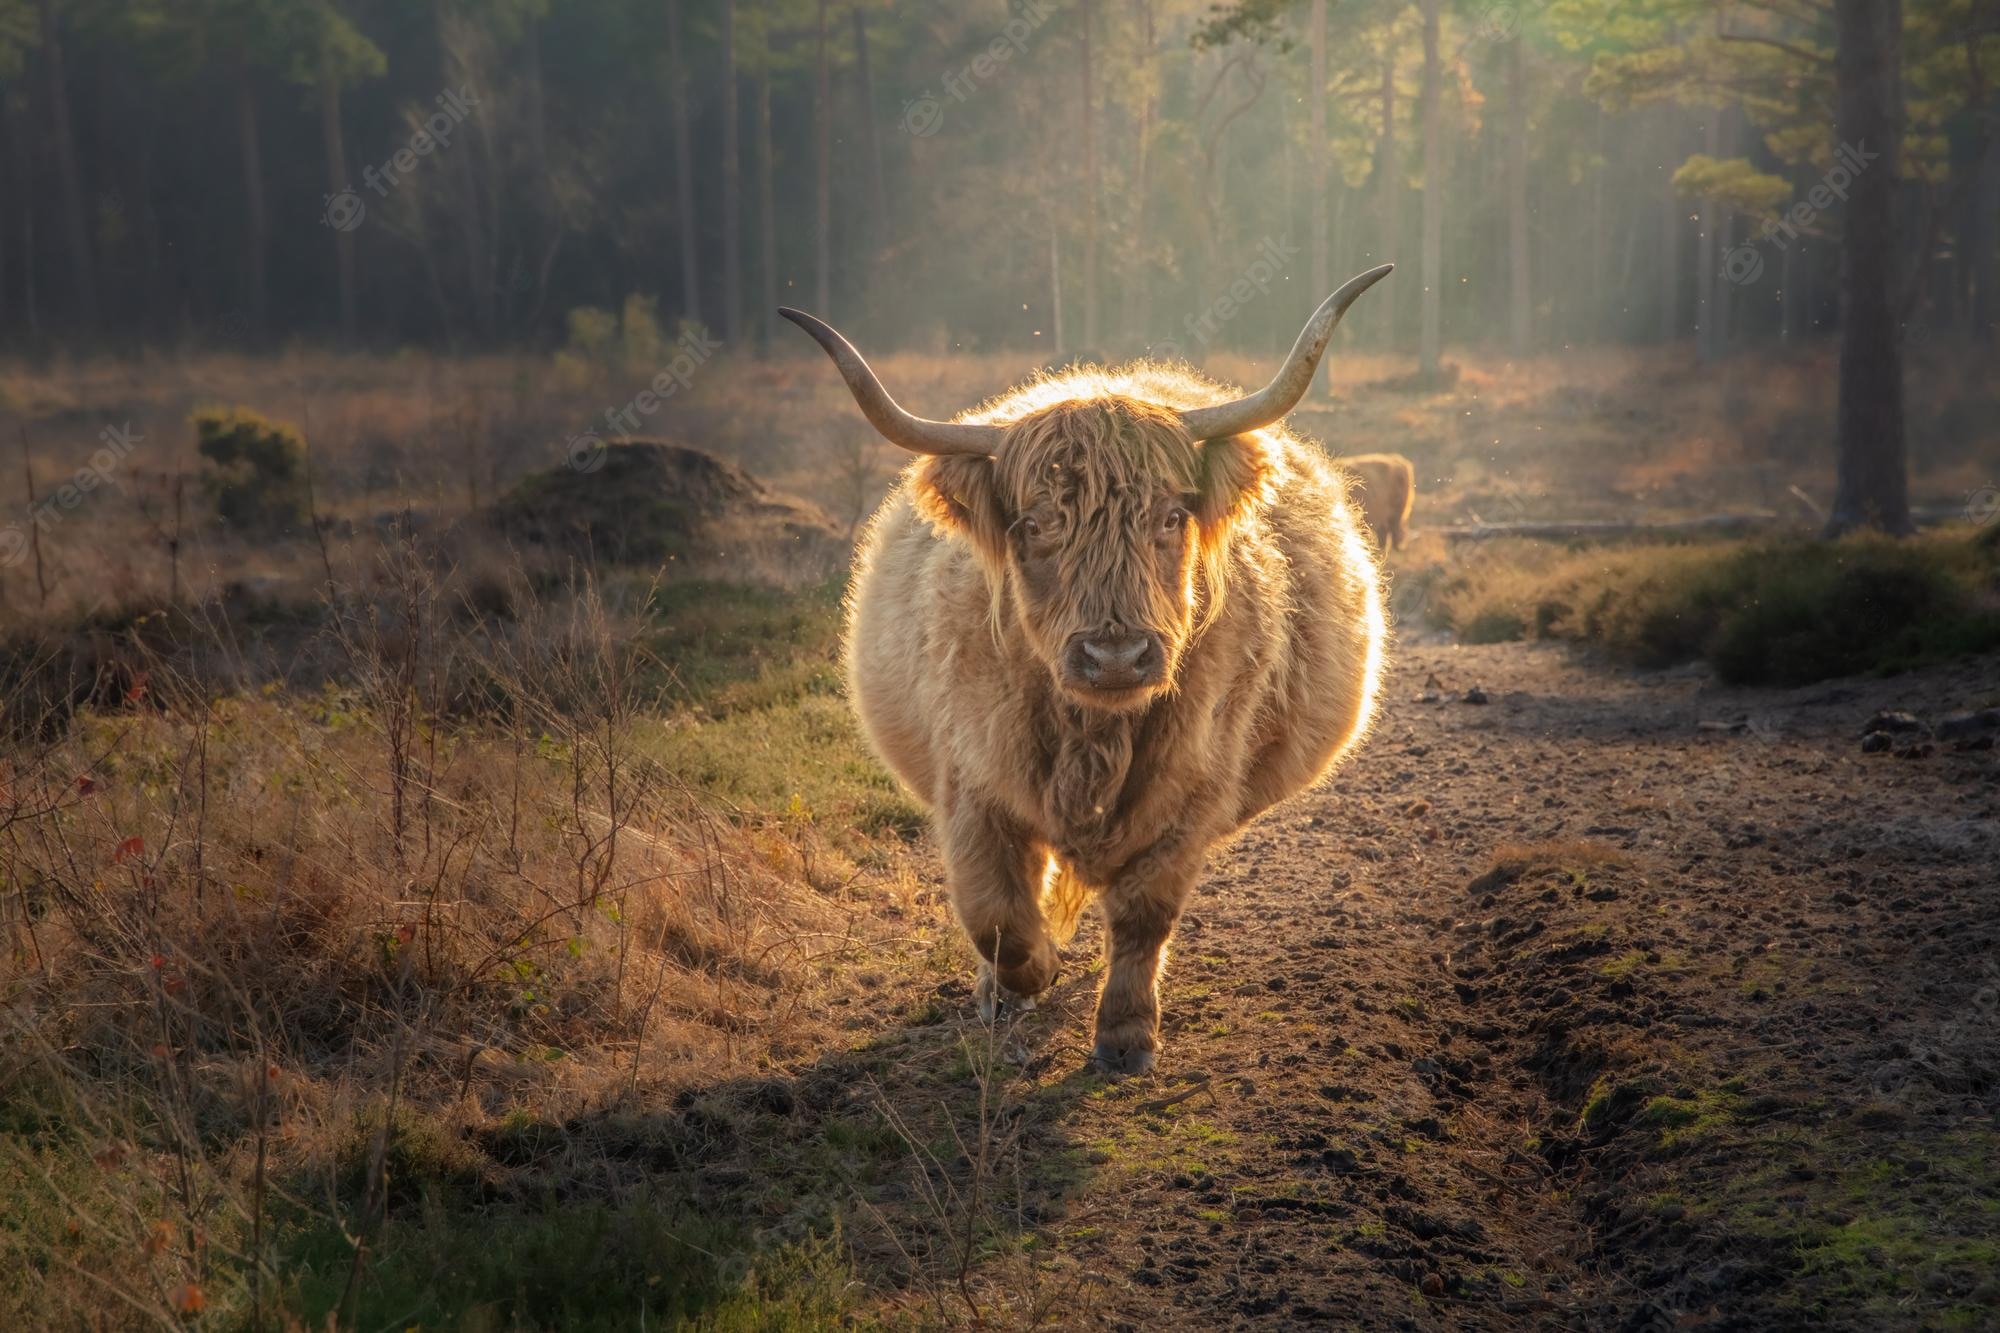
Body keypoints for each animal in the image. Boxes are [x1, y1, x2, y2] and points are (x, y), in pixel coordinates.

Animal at [781, 266, 1394, 1074]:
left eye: (1171, 517)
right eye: (1035, 525)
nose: (1116, 655)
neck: (1095, 737)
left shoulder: (1195, 792)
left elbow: (1143, 913)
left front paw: (1127, 1035)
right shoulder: (972, 783)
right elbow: (999, 919)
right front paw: (1030, 977)